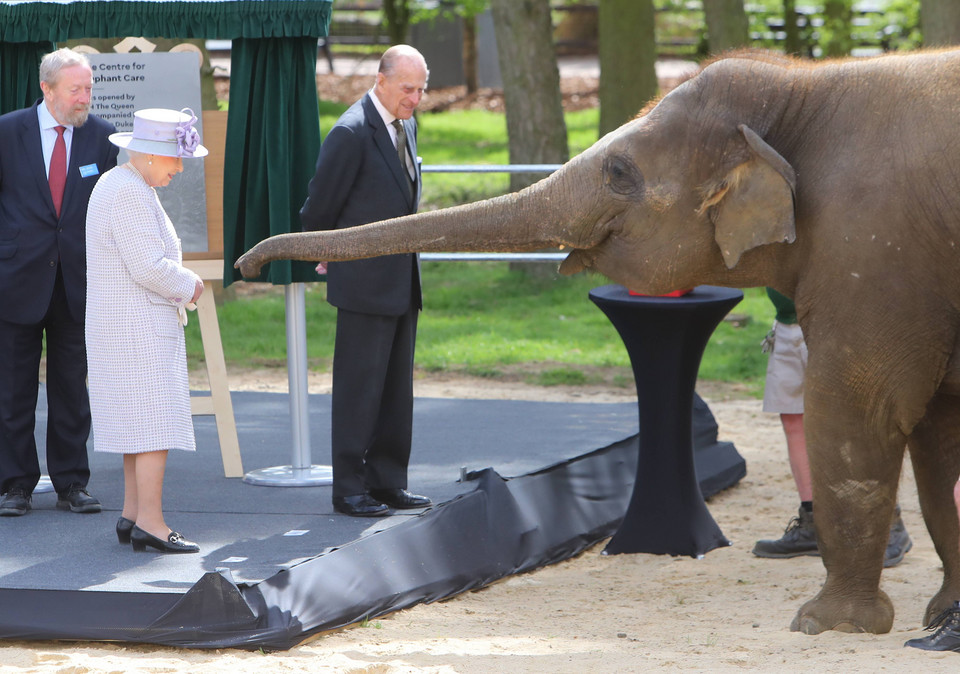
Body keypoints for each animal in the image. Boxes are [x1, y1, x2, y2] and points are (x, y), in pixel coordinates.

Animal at [236, 50, 960, 632]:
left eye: (617, 171)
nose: (246, 264)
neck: (804, 85)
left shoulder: (873, 249)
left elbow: (859, 409)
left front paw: (826, 625)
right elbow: (934, 435)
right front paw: (936, 617)